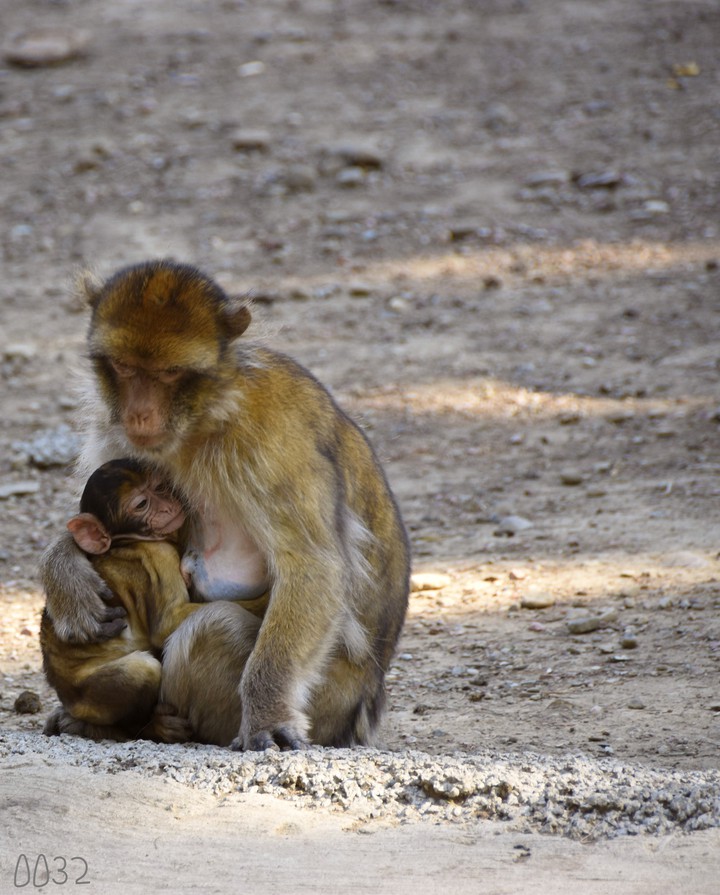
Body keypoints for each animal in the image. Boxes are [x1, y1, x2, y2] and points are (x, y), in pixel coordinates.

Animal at [41, 259, 411, 751]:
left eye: (168, 374)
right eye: (123, 367)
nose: (139, 413)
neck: (205, 417)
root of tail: (362, 711)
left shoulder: (269, 438)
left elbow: (313, 565)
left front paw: (268, 714)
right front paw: (65, 572)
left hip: (328, 701)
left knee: (210, 630)